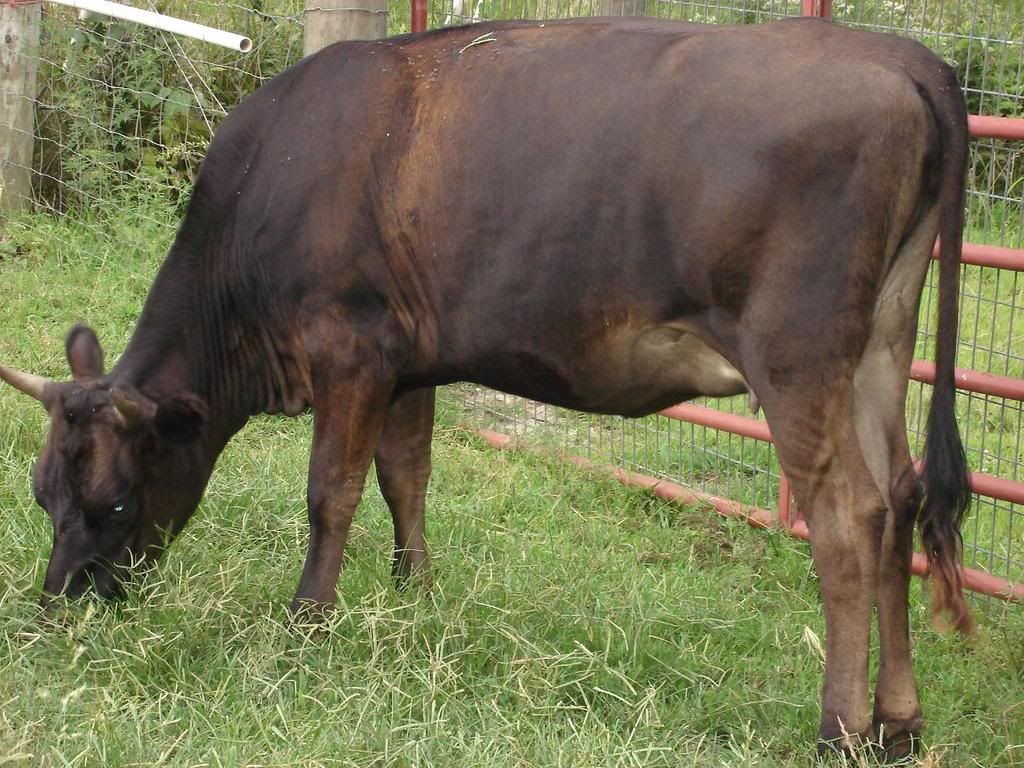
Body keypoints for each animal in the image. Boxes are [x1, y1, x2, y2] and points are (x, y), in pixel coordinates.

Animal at [0, 16, 970, 759]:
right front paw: (415, 597)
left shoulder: (350, 346)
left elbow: (330, 492)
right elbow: (406, 476)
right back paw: (901, 722)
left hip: (797, 352)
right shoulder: (407, 359)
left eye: (117, 503)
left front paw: (306, 627)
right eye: (44, 493)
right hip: (881, 340)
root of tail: (898, 54)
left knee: (848, 519)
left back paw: (839, 730)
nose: (59, 608)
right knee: (902, 495)